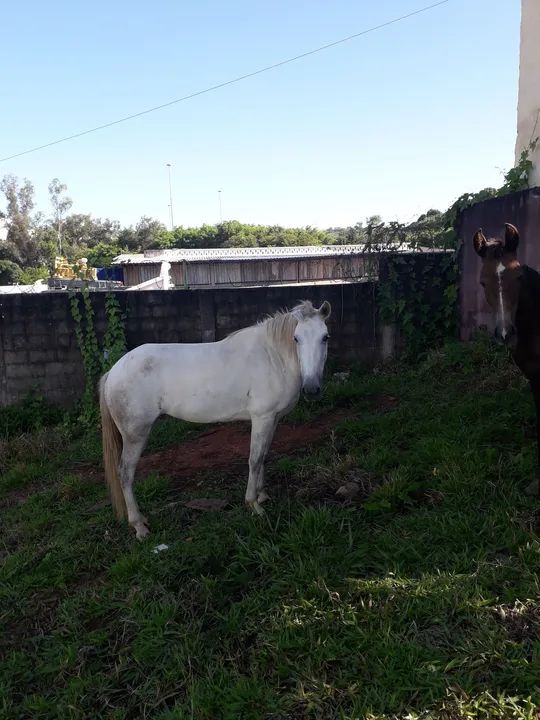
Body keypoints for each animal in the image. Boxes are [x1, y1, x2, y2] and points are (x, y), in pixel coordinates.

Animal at [99, 300, 332, 539]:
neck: (273, 357)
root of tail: (113, 372)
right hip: (135, 435)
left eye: (325, 337)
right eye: (296, 338)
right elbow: (254, 459)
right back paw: (139, 525)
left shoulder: (273, 419)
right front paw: (254, 504)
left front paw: (262, 494)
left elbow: (264, 456)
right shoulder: (262, 418)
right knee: (125, 474)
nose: (311, 389)